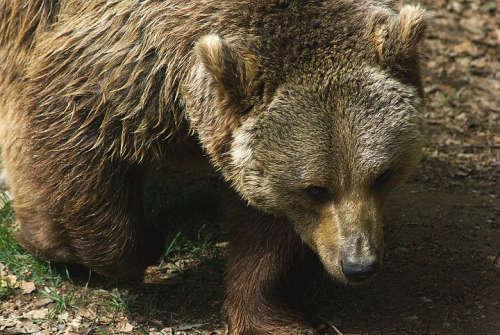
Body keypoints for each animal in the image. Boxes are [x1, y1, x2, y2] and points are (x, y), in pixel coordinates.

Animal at [0, 1, 426, 334]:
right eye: (316, 189)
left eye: (383, 175)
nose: (359, 265)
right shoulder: (131, 60)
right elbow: (72, 117)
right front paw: (133, 248)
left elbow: (265, 227)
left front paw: (271, 317)